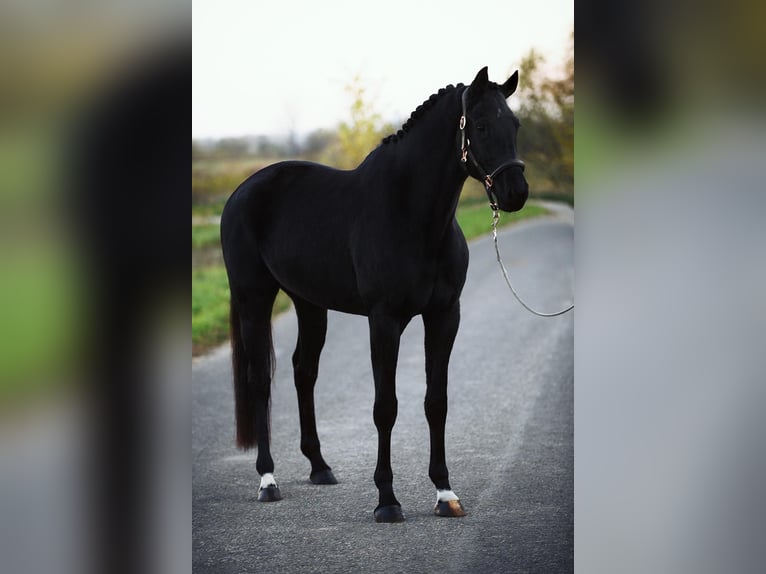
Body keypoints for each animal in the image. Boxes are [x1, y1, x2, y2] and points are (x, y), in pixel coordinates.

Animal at [219, 65, 524, 524]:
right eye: (482, 125)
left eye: (516, 124)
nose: (517, 192)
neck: (410, 215)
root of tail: (242, 191)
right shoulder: (384, 321)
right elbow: (386, 407)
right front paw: (387, 500)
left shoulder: (444, 316)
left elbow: (436, 402)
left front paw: (445, 493)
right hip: (253, 299)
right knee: (259, 380)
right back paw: (267, 480)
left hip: (310, 303)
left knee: (303, 371)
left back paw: (320, 467)